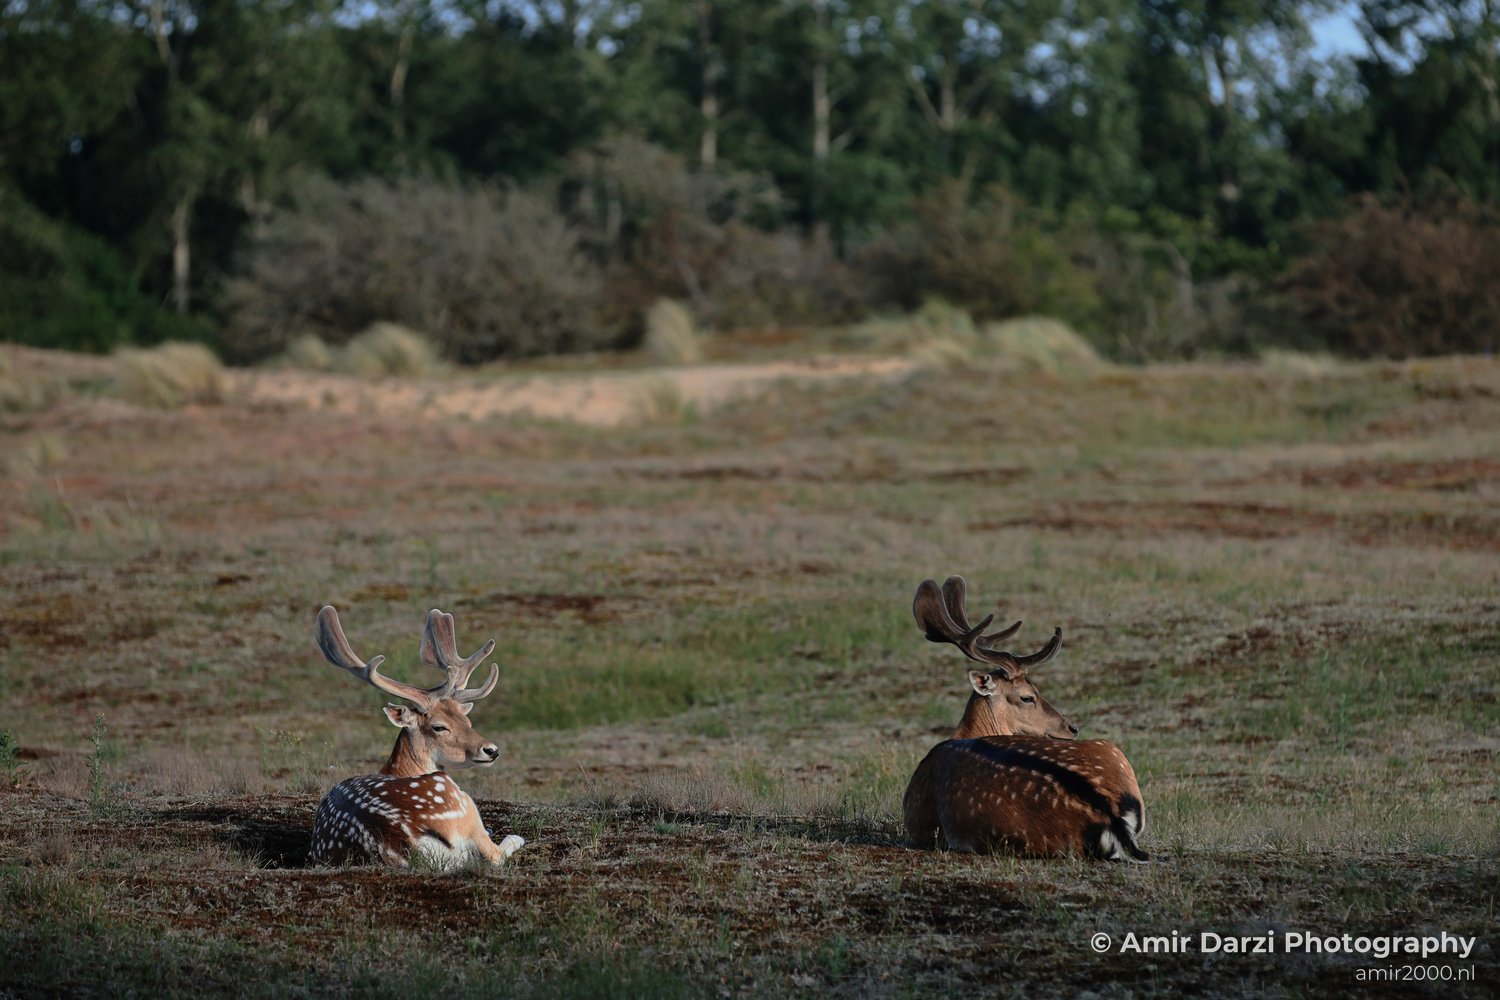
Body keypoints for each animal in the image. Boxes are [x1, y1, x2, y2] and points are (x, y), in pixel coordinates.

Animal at [309, 605, 526, 870]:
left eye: (467, 721)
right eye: (439, 727)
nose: (491, 750)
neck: (399, 769)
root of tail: (407, 844)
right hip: (455, 796)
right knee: (495, 854)